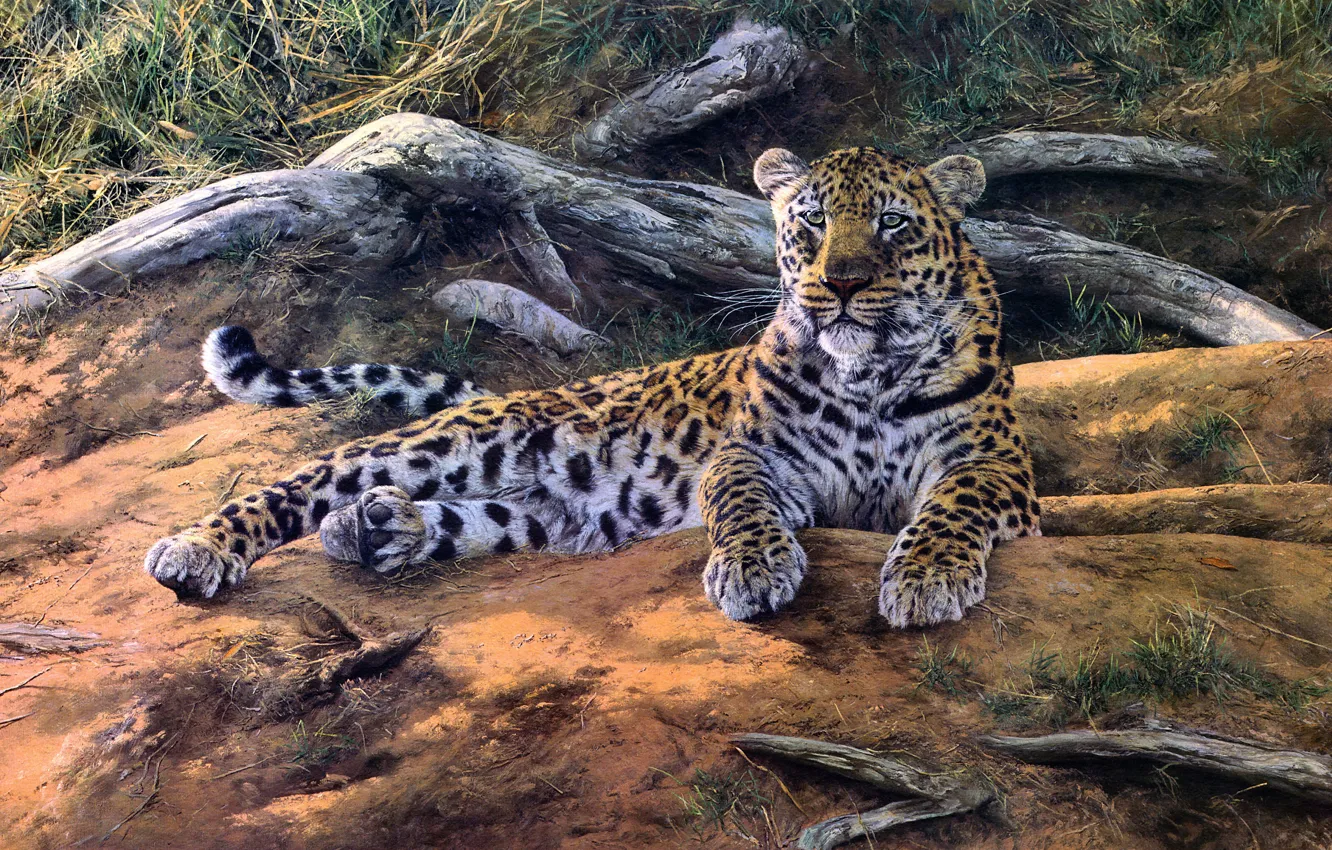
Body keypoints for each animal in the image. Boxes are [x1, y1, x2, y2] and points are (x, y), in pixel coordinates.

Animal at [145, 145, 1041, 629]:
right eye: (813, 221)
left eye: (892, 223)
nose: (845, 284)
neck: (866, 374)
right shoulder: (752, 457)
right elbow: (743, 504)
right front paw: (753, 571)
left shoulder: (998, 469)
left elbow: (952, 506)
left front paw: (926, 579)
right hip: (457, 443)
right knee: (306, 477)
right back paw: (198, 548)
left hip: (541, 516)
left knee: (458, 519)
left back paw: (375, 530)